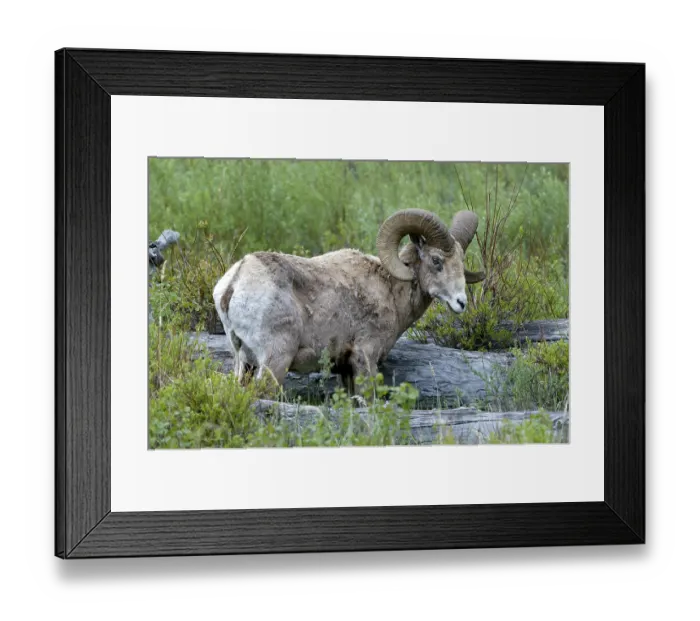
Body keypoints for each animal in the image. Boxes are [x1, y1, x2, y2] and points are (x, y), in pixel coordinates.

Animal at [212, 209, 486, 393]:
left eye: (461, 261)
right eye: (436, 261)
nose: (461, 302)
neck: (390, 289)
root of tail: (234, 283)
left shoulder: (345, 369)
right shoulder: (365, 357)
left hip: (244, 363)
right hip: (275, 360)